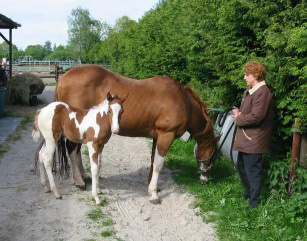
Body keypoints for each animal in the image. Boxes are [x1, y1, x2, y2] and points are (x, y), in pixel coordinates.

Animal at [55, 65, 218, 203]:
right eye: (214, 153)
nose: (205, 178)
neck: (182, 101)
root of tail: (63, 78)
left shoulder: (157, 136)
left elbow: (153, 160)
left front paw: (152, 186)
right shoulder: (166, 136)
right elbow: (158, 164)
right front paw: (154, 193)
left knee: (76, 151)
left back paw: (84, 176)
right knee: (72, 149)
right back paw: (79, 181)